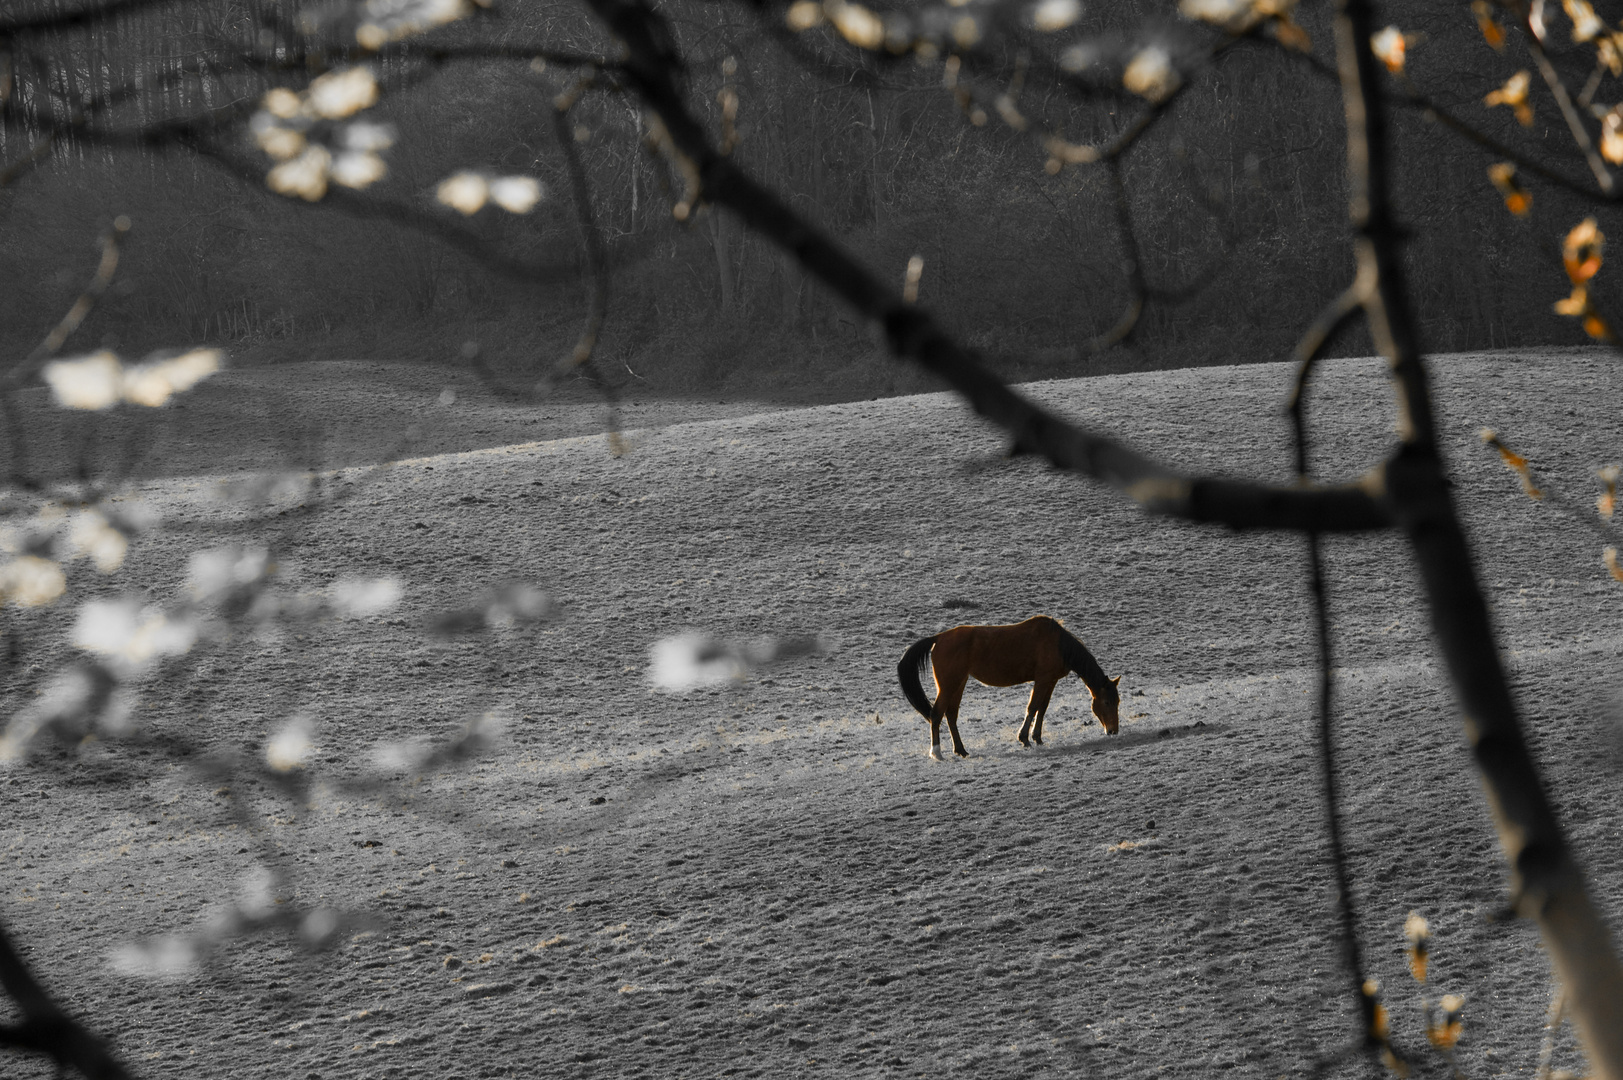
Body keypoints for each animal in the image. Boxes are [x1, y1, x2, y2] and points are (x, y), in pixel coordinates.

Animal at [895, 613, 1123, 756]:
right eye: (1107, 702)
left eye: (1117, 701)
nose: (1113, 731)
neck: (1058, 644)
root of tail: (938, 638)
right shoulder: (1042, 679)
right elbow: (1032, 707)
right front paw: (1024, 738)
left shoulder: (1050, 681)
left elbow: (1042, 709)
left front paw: (1037, 738)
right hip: (949, 685)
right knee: (936, 714)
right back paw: (937, 753)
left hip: (959, 683)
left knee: (951, 715)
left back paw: (961, 750)